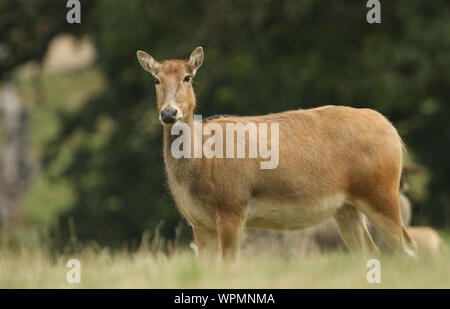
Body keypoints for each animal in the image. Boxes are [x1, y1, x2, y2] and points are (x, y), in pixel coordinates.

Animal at [137, 47, 418, 262]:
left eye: (187, 77)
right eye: (156, 79)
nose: (169, 113)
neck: (202, 166)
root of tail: (393, 133)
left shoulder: (232, 206)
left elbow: (228, 265)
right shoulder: (199, 222)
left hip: (381, 192)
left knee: (408, 249)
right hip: (347, 208)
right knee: (371, 251)